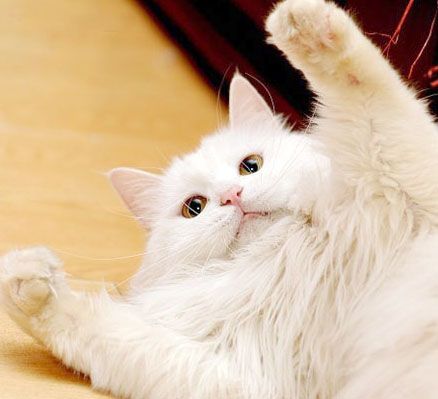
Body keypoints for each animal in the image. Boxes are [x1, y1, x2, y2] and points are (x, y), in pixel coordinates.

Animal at [0, 0, 438, 399]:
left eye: (250, 166)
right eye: (194, 208)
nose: (233, 196)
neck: (284, 255)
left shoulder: (409, 180)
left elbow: (369, 90)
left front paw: (299, 23)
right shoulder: (236, 371)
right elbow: (92, 328)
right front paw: (28, 282)